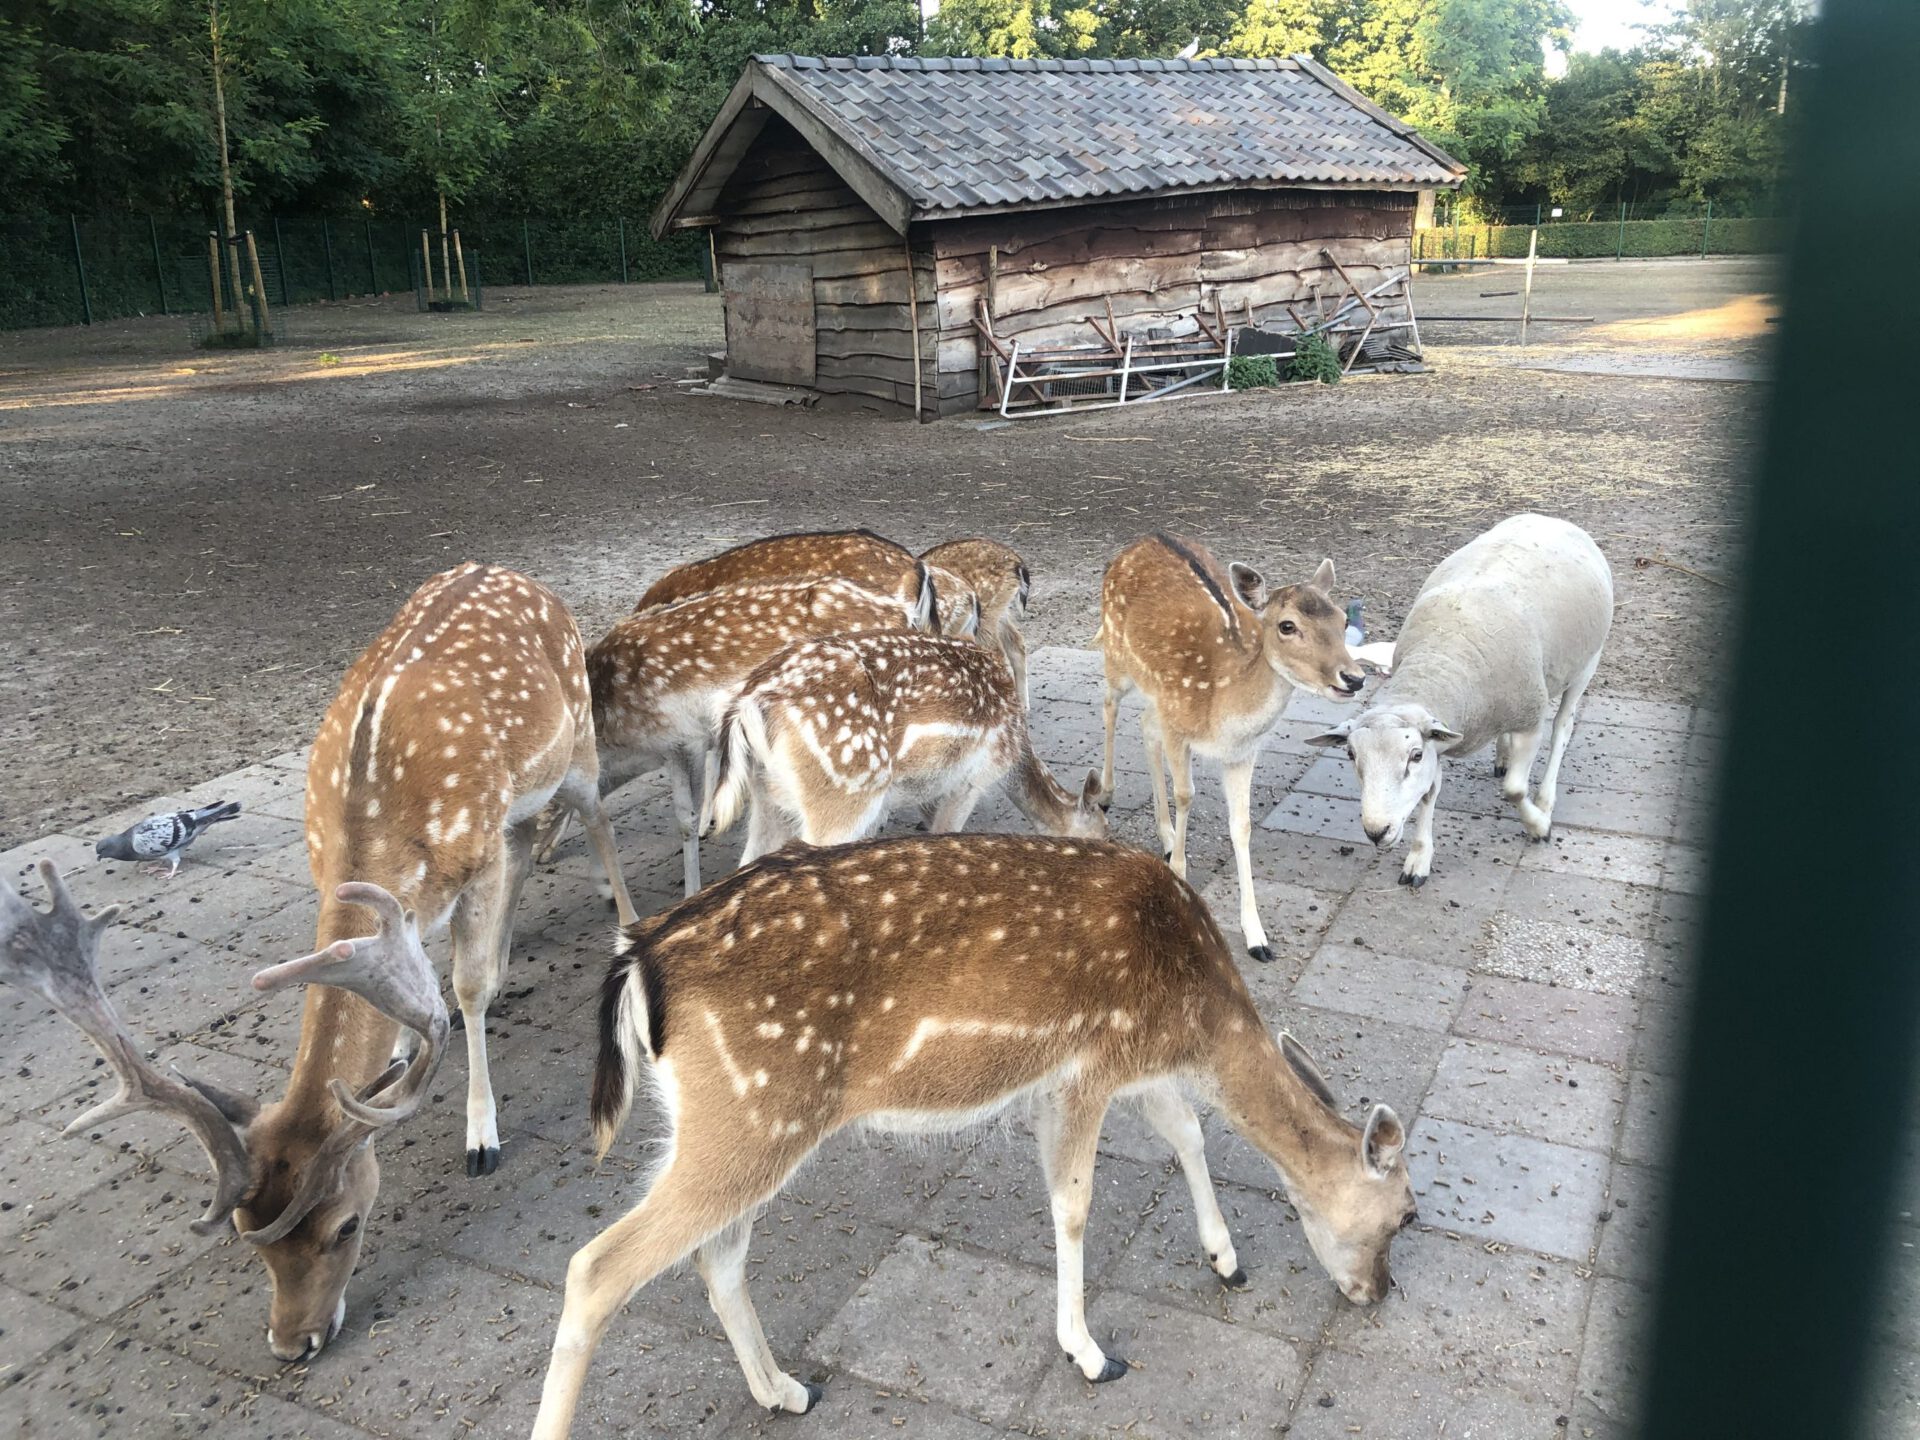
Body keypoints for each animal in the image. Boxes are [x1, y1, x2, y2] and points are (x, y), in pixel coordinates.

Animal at [533, 833, 1420, 1436]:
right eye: (1407, 1215)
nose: (1379, 1293)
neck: (1190, 1016)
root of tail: (640, 960)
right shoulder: (1089, 1066)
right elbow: (1074, 1202)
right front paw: (1090, 1353)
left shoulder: (1109, 1069)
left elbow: (1187, 1132)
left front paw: (1226, 1260)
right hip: (754, 1116)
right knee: (595, 1268)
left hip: (742, 1122)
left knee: (715, 1258)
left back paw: (787, 1390)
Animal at [706, 633, 1105, 867]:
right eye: (1102, 835)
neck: (1016, 748)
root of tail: (748, 701)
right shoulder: (973, 780)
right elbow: (945, 833)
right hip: (843, 795)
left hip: (766, 795)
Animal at [1098, 537, 1367, 971]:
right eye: (1287, 625)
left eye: (1344, 620)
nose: (1354, 678)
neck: (1221, 709)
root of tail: (1142, 541)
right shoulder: (1179, 727)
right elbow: (1186, 795)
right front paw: (1179, 875)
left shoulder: (1241, 753)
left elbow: (1241, 826)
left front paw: (1257, 936)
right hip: (1116, 658)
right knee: (1110, 706)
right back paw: (1106, 795)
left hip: (1154, 695)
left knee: (1144, 725)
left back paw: (1165, 834)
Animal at [1313, 514, 1612, 887]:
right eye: (1351, 755)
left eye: (1414, 755)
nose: (1376, 832)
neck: (1437, 662)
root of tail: (1547, 517)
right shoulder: (1440, 737)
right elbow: (1428, 796)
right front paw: (1419, 859)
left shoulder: (1528, 719)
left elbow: (1515, 790)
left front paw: (1538, 825)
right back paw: (1503, 755)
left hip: (1588, 662)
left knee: (1562, 729)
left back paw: (1545, 799)